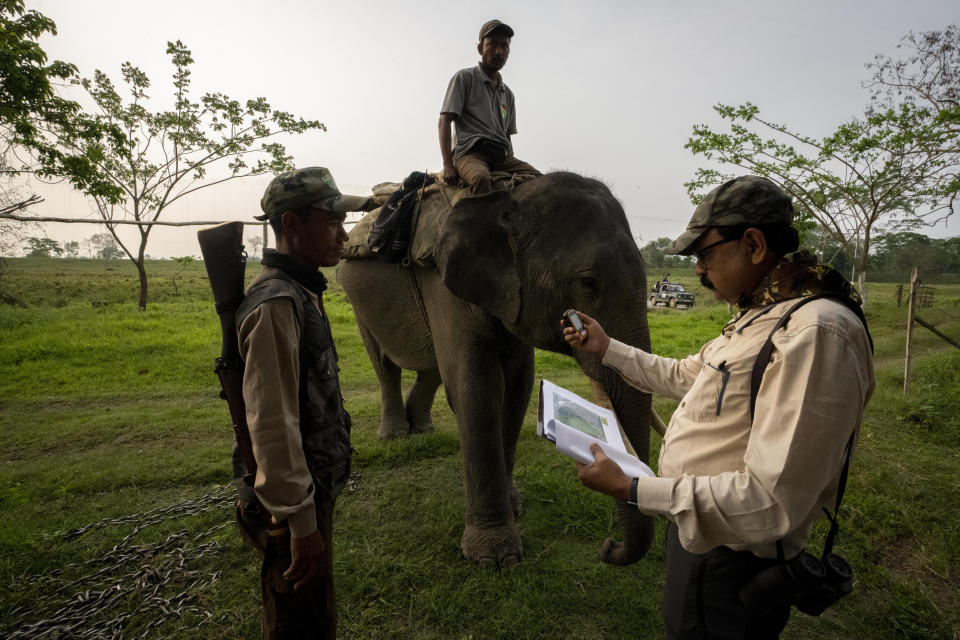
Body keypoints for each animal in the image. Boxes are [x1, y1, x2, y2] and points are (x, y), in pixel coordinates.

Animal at [338, 172, 652, 568]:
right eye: (587, 282)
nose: (608, 546)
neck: (506, 199)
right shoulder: (444, 285)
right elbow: (476, 386)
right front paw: (496, 558)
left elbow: (518, 388)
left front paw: (513, 506)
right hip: (356, 297)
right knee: (385, 364)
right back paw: (395, 434)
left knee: (432, 367)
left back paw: (421, 429)